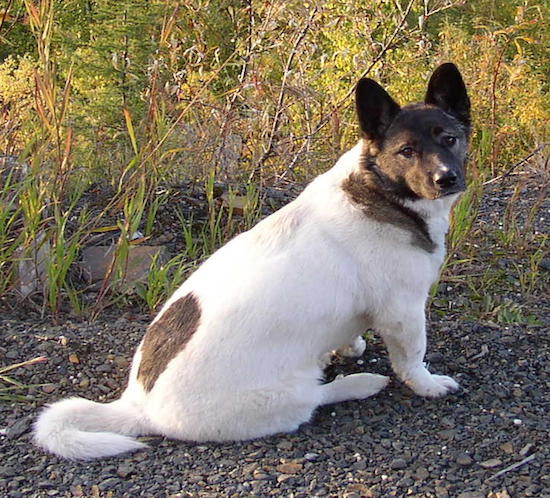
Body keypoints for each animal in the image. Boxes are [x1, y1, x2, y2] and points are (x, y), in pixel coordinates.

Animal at [33, 62, 474, 460]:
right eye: (406, 151)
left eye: (450, 139)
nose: (446, 179)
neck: (380, 190)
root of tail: (138, 407)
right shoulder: (404, 312)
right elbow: (412, 359)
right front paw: (427, 384)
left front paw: (349, 346)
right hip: (285, 395)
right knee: (316, 397)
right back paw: (360, 384)